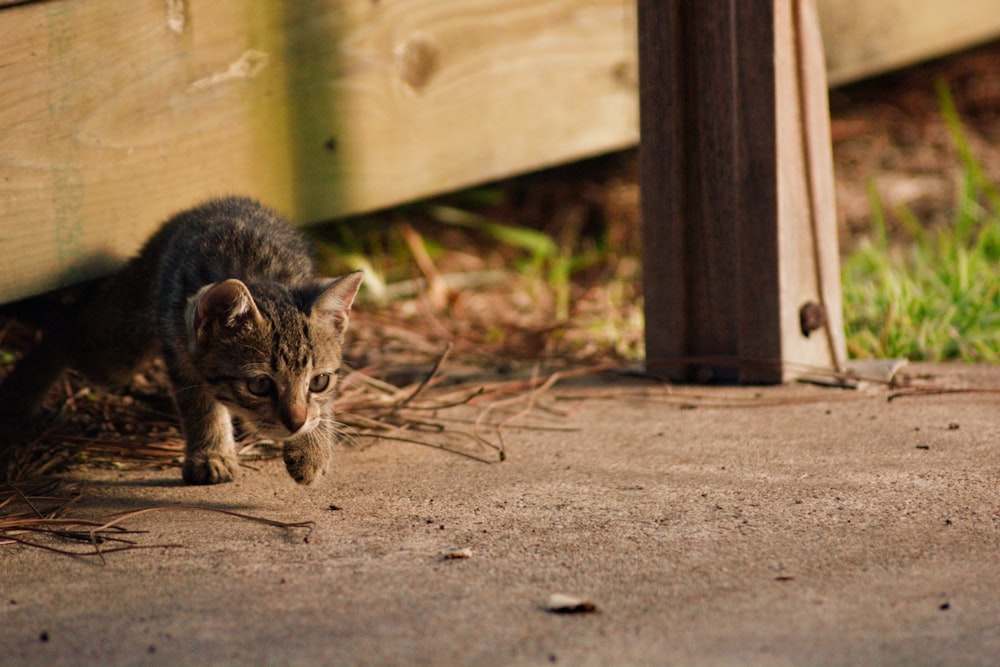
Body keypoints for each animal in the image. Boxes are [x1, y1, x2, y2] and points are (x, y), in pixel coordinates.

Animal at [0, 197, 366, 486]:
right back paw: (22, 386)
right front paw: (211, 454)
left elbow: (322, 407)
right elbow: (200, 406)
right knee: (70, 332)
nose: (296, 422)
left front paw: (311, 449)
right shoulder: (181, 354)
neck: (255, 271)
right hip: (115, 354)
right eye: (260, 385)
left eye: (318, 382)